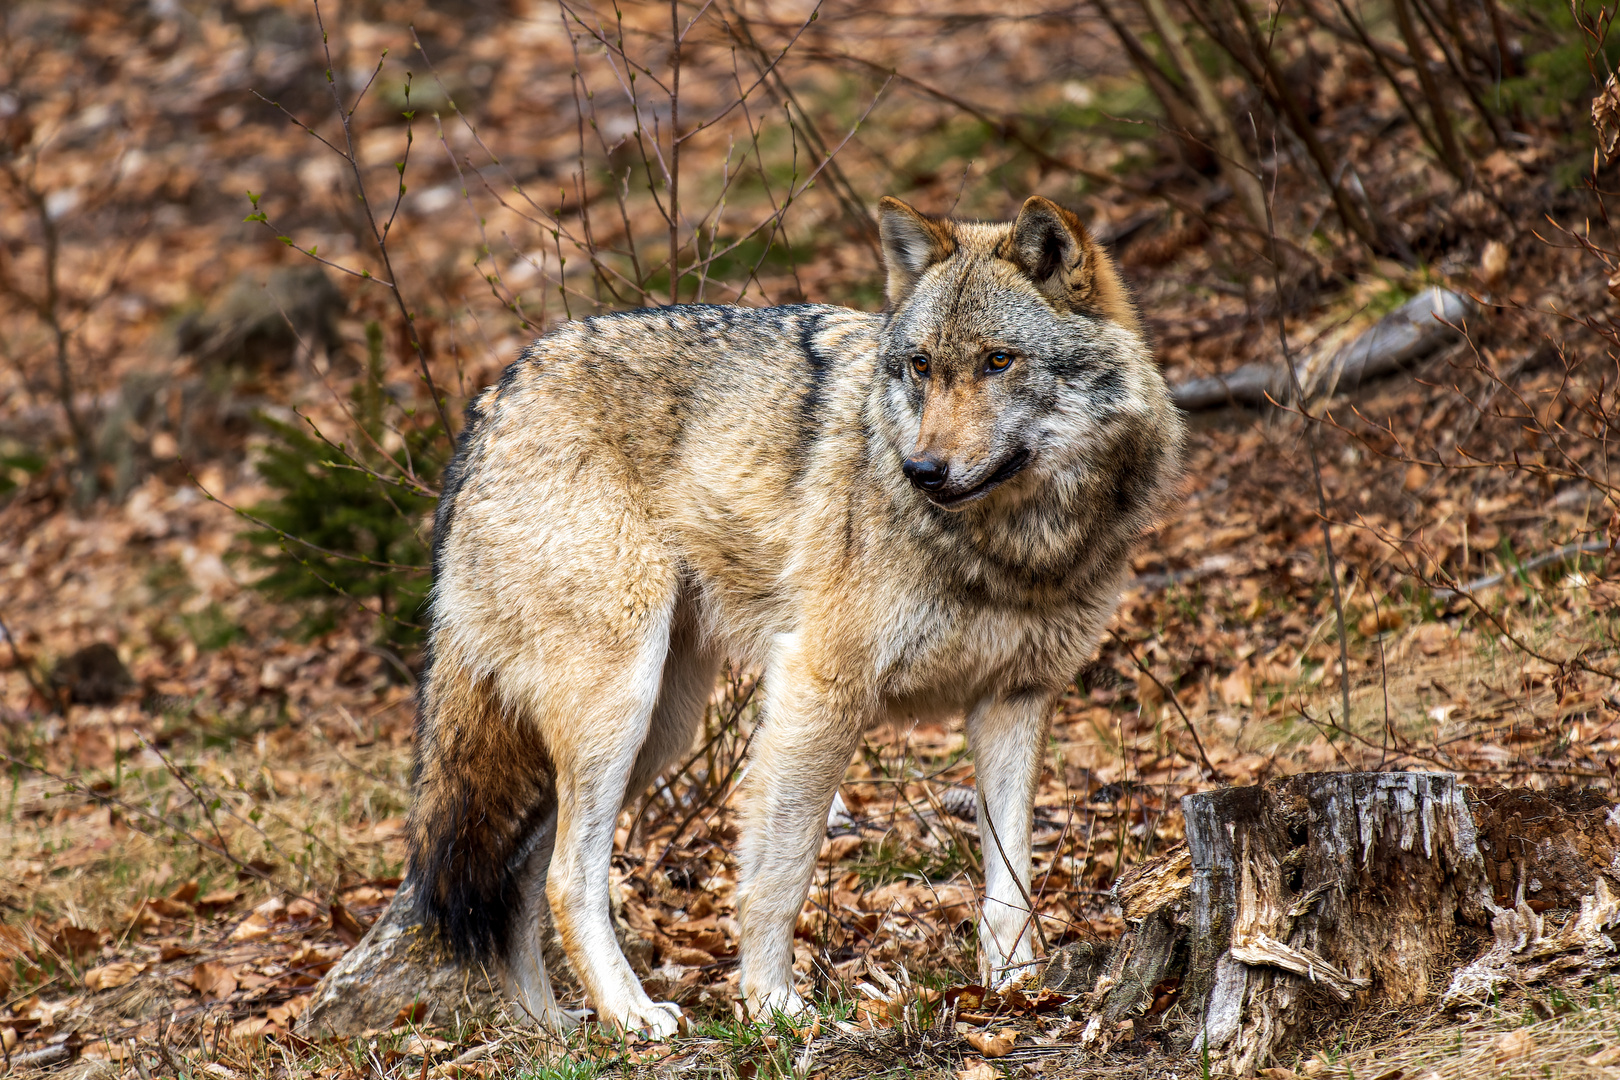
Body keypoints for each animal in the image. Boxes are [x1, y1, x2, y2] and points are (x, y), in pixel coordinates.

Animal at [405, 196, 1185, 1036]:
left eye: (998, 361)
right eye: (921, 366)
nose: (921, 470)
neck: (1014, 550)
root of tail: (492, 399)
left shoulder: (1016, 698)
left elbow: (1011, 874)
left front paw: (1014, 987)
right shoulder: (819, 686)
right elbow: (783, 869)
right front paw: (771, 1004)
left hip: (660, 727)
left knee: (522, 873)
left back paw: (556, 1027)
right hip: (620, 710)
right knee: (563, 877)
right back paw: (633, 1015)